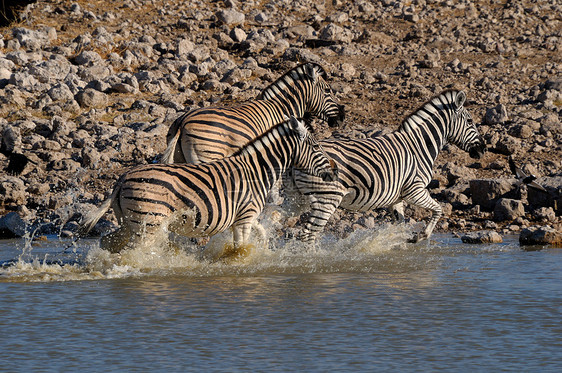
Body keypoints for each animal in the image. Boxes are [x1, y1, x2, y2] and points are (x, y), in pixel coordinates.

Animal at [79, 116, 336, 253]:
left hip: (129, 222)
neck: (256, 171)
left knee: (108, 242)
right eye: (316, 147)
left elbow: (260, 233)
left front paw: (263, 250)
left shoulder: (246, 215)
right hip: (148, 223)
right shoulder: (245, 216)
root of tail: (122, 179)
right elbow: (240, 248)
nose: (333, 172)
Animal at [158, 61, 342, 163]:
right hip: (207, 155)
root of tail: (182, 122)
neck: (282, 106)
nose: (342, 118)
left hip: (179, 158)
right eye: (327, 90)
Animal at [288, 89, 486, 241]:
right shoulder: (415, 191)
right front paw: (421, 236)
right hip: (327, 198)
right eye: (470, 121)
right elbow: (438, 209)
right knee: (308, 235)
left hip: (298, 199)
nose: (483, 149)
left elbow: (400, 224)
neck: (419, 145)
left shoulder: (396, 199)